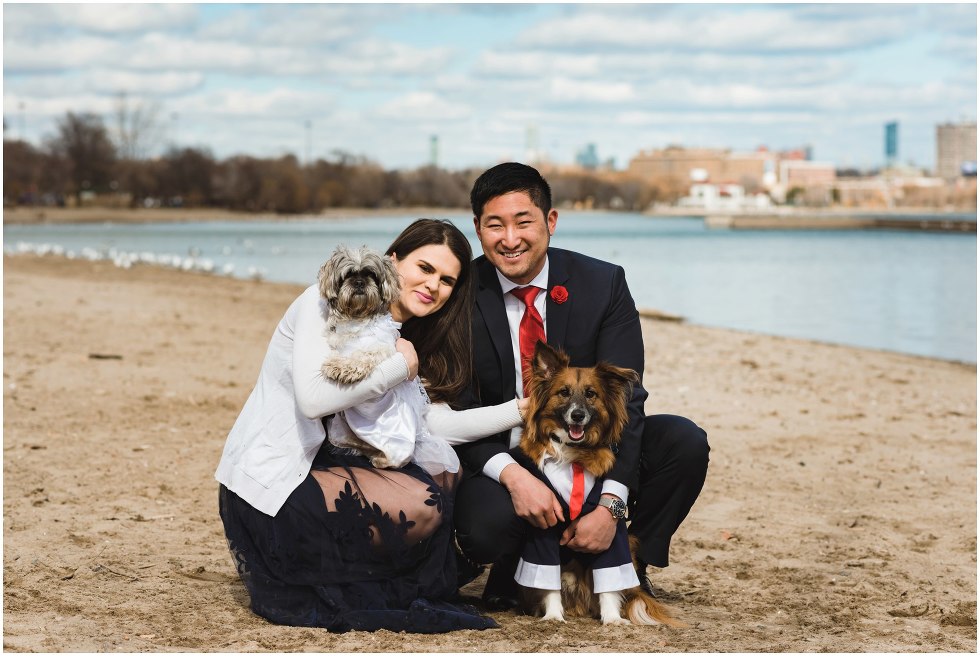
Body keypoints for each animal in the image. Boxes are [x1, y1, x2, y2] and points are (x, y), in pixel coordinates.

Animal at [520, 340, 680, 628]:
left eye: (591, 394)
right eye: (563, 392)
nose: (577, 415)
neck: (573, 454)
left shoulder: (608, 533)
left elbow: (609, 583)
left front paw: (613, 618)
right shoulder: (542, 528)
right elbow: (547, 580)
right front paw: (553, 614)